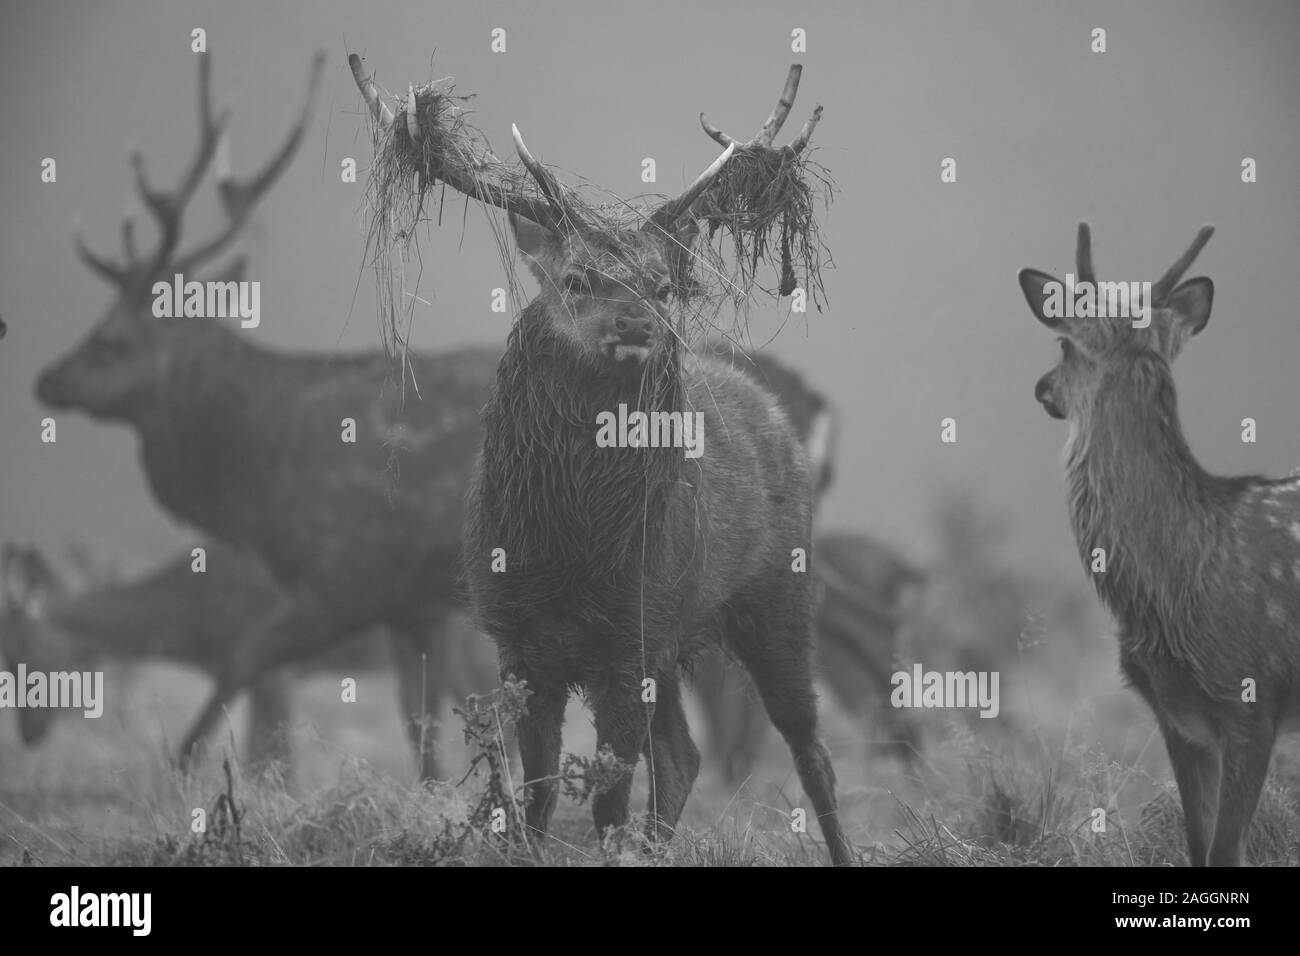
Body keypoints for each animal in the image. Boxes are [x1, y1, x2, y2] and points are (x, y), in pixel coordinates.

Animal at [1019, 223, 1300, 868]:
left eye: (1064, 346)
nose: (1043, 388)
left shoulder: (1255, 697)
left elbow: (1225, 853)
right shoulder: (1179, 717)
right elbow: (1197, 846)